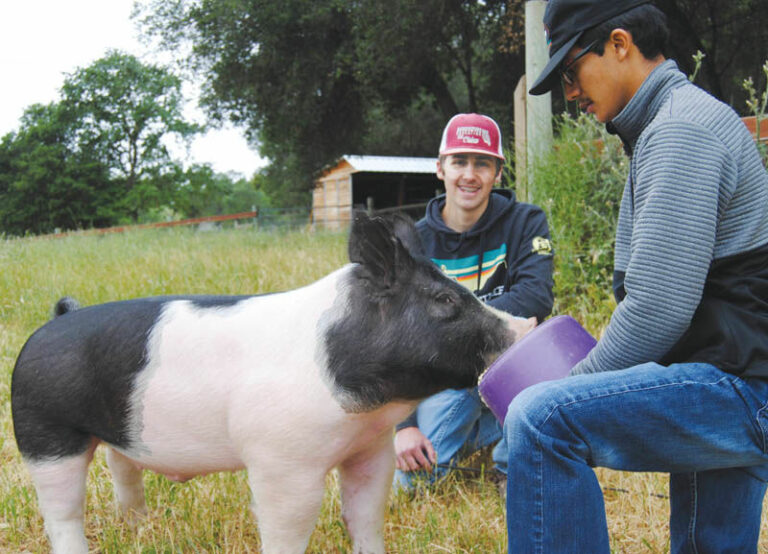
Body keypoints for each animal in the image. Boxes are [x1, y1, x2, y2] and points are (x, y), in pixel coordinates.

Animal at [9, 209, 532, 548]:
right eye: (444, 301)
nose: (526, 326)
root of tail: (55, 320)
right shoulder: (282, 462)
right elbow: (287, 528)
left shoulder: (370, 450)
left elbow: (365, 516)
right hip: (44, 433)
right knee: (61, 512)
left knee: (123, 467)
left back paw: (140, 530)